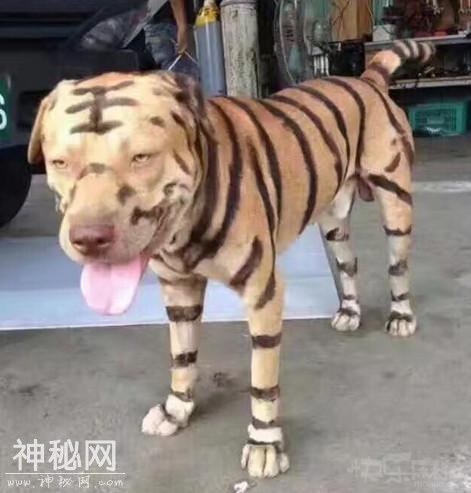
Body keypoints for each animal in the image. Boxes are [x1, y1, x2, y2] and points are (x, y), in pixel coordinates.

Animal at [28, 39, 434, 478]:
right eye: (60, 162)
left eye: (141, 157)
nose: (89, 239)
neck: (184, 225)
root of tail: (367, 77)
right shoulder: (178, 290)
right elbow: (182, 357)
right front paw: (176, 410)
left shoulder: (264, 293)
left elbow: (262, 381)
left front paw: (264, 444)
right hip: (332, 218)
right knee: (348, 262)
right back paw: (349, 311)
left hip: (395, 205)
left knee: (397, 267)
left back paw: (401, 316)